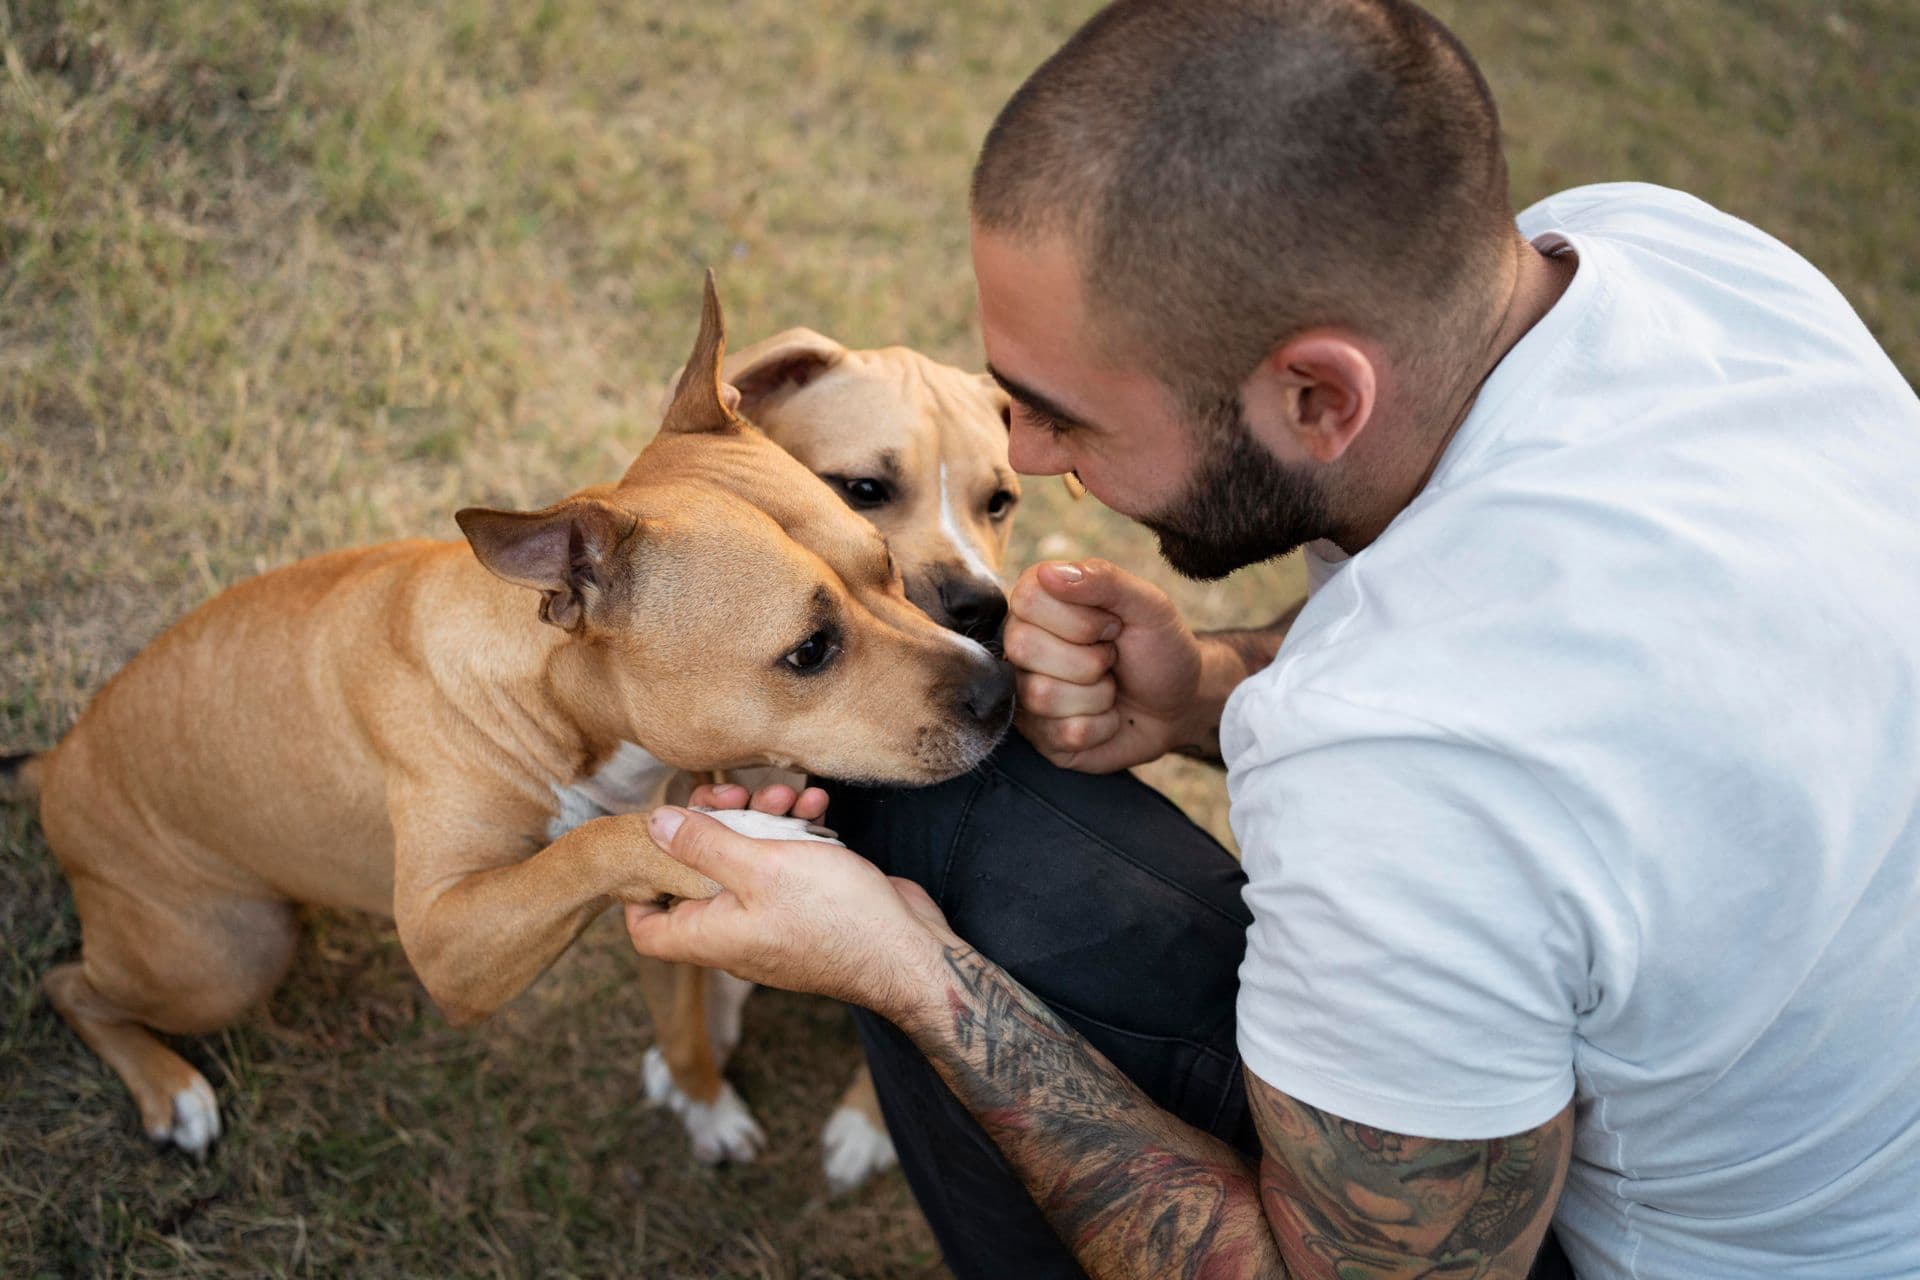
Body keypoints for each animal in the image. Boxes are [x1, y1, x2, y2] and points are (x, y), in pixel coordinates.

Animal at [637, 328, 1029, 1189]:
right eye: (865, 487)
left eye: (1000, 501)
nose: (983, 605)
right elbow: (678, 1011)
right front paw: (701, 1094)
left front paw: (866, 1125)